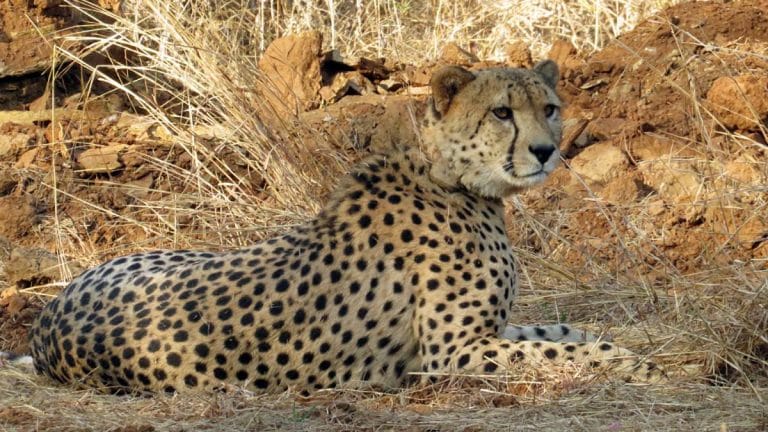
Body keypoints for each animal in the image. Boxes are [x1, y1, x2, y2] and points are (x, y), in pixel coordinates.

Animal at [28, 60, 665, 394]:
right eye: (502, 113)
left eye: (549, 108)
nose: (545, 151)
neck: (453, 178)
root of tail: (44, 325)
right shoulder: (449, 353)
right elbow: (557, 351)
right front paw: (635, 365)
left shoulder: (487, 332)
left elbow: (563, 332)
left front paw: (619, 348)